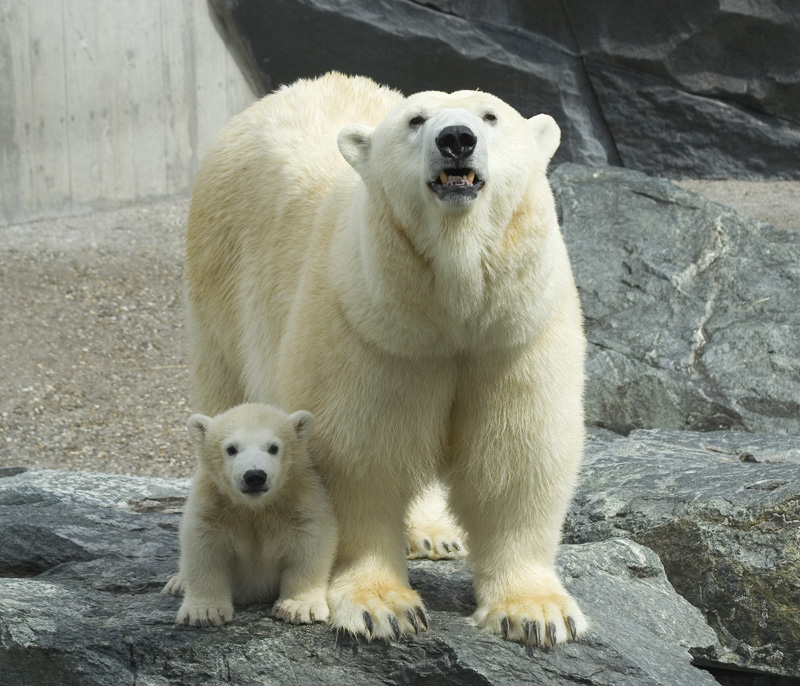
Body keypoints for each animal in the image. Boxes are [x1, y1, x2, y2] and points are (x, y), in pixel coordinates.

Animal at [186, 72, 588, 648]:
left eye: (490, 115)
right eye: (416, 120)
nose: (456, 138)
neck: (449, 308)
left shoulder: (514, 332)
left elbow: (516, 456)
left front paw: (536, 612)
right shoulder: (370, 326)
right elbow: (362, 458)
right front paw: (383, 608)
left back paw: (436, 534)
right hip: (220, 278)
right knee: (225, 394)